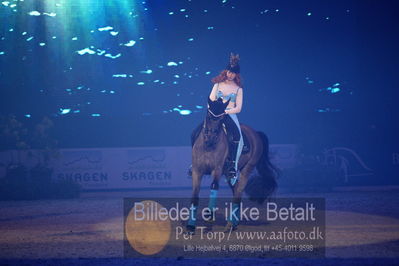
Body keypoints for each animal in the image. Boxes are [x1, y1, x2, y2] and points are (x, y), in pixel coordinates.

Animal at [187, 96, 278, 232]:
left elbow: (214, 186)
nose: (211, 137)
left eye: (221, 118)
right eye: (209, 116)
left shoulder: (217, 169)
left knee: (239, 191)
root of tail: (256, 133)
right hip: (228, 173)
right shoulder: (197, 170)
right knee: (236, 189)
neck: (208, 146)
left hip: (246, 168)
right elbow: (194, 194)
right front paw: (190, 226)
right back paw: (234, 222)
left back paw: (230, 224)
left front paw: (209, 217)